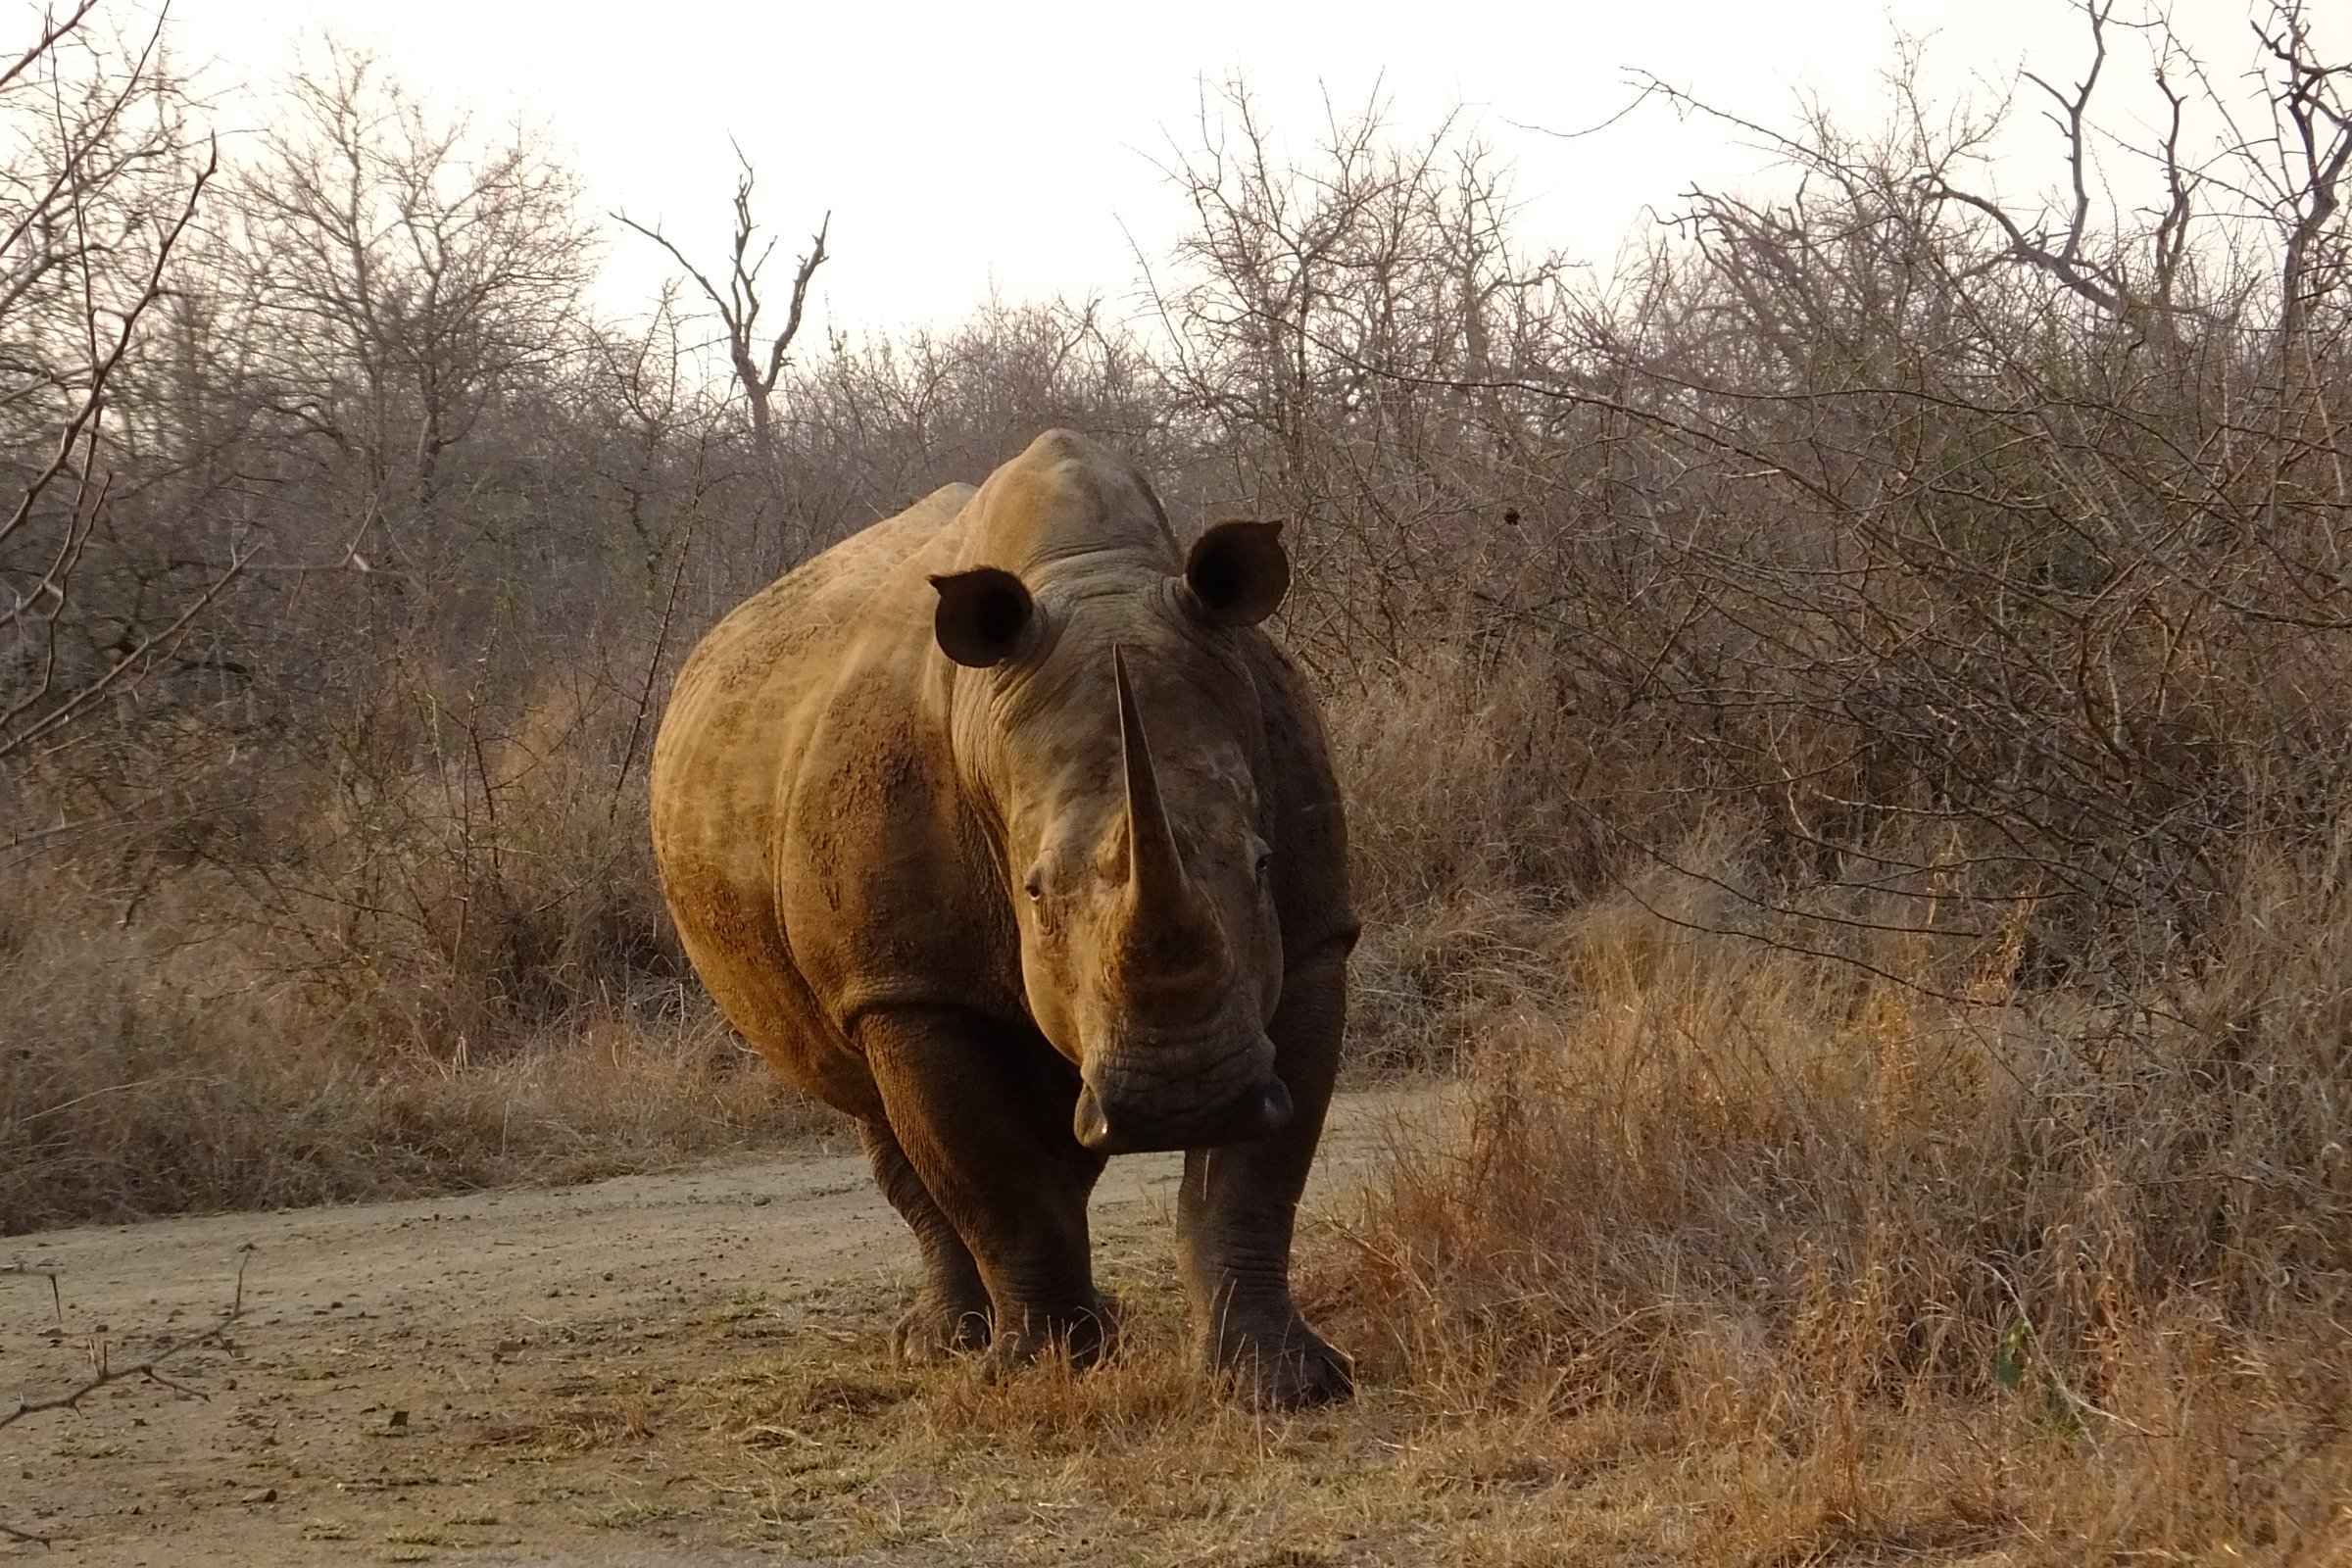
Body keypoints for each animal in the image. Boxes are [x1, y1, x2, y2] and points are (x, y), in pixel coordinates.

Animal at [649, 429, 1357, 1408]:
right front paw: (1038, 1374)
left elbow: (1255, 1179)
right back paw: (946, 1346)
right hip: (853, 961)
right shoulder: (909, 984)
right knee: (887, 1120)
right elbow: (996, 1182)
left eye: (1258, 862)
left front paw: (1287, 1385)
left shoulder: (1317, 935)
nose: (1185, 1100)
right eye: (1032, 891)